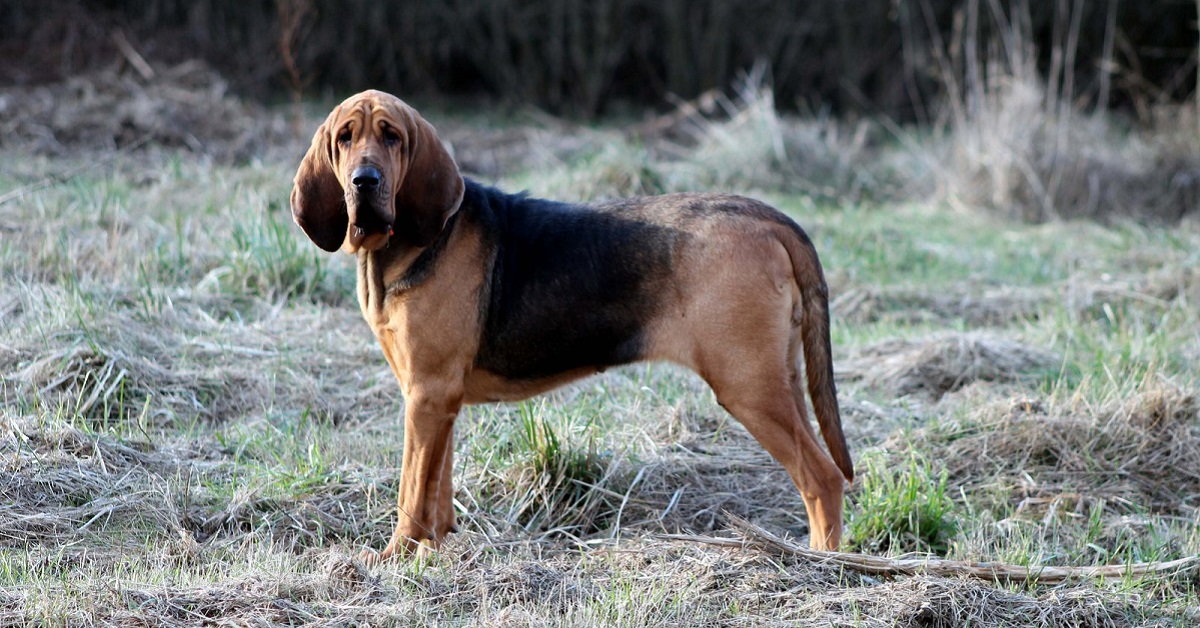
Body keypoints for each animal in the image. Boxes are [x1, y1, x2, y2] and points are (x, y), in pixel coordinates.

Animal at [290, 89, 854, 564]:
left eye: (392, 137)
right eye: (345, 138)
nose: (364, 182)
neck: (399, 248)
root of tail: (766, 216)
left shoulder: (427, 395)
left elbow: (411, 489)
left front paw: (394, 556)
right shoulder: (435, 400)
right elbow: (437, 485)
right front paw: (437, 550)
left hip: (748, 385)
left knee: (823, 478)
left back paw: (822, 565)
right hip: (782, 381)